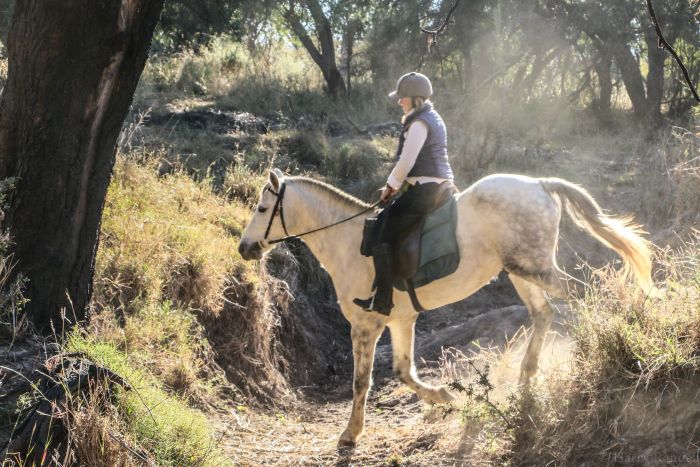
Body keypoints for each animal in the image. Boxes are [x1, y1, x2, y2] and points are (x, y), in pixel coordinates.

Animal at [238, 169, 652, 447]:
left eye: (261, 208)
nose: (244, 248)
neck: (347, 242)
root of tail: (539, 183)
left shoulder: (366, 324)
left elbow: (361, 382)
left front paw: (351, 433)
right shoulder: (401, 319)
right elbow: (404, 372)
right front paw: (448, 398)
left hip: (534, 267)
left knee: (585, 293)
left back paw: (597, 347)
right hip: (521, 270)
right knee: (544, 313)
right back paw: (527, 374)